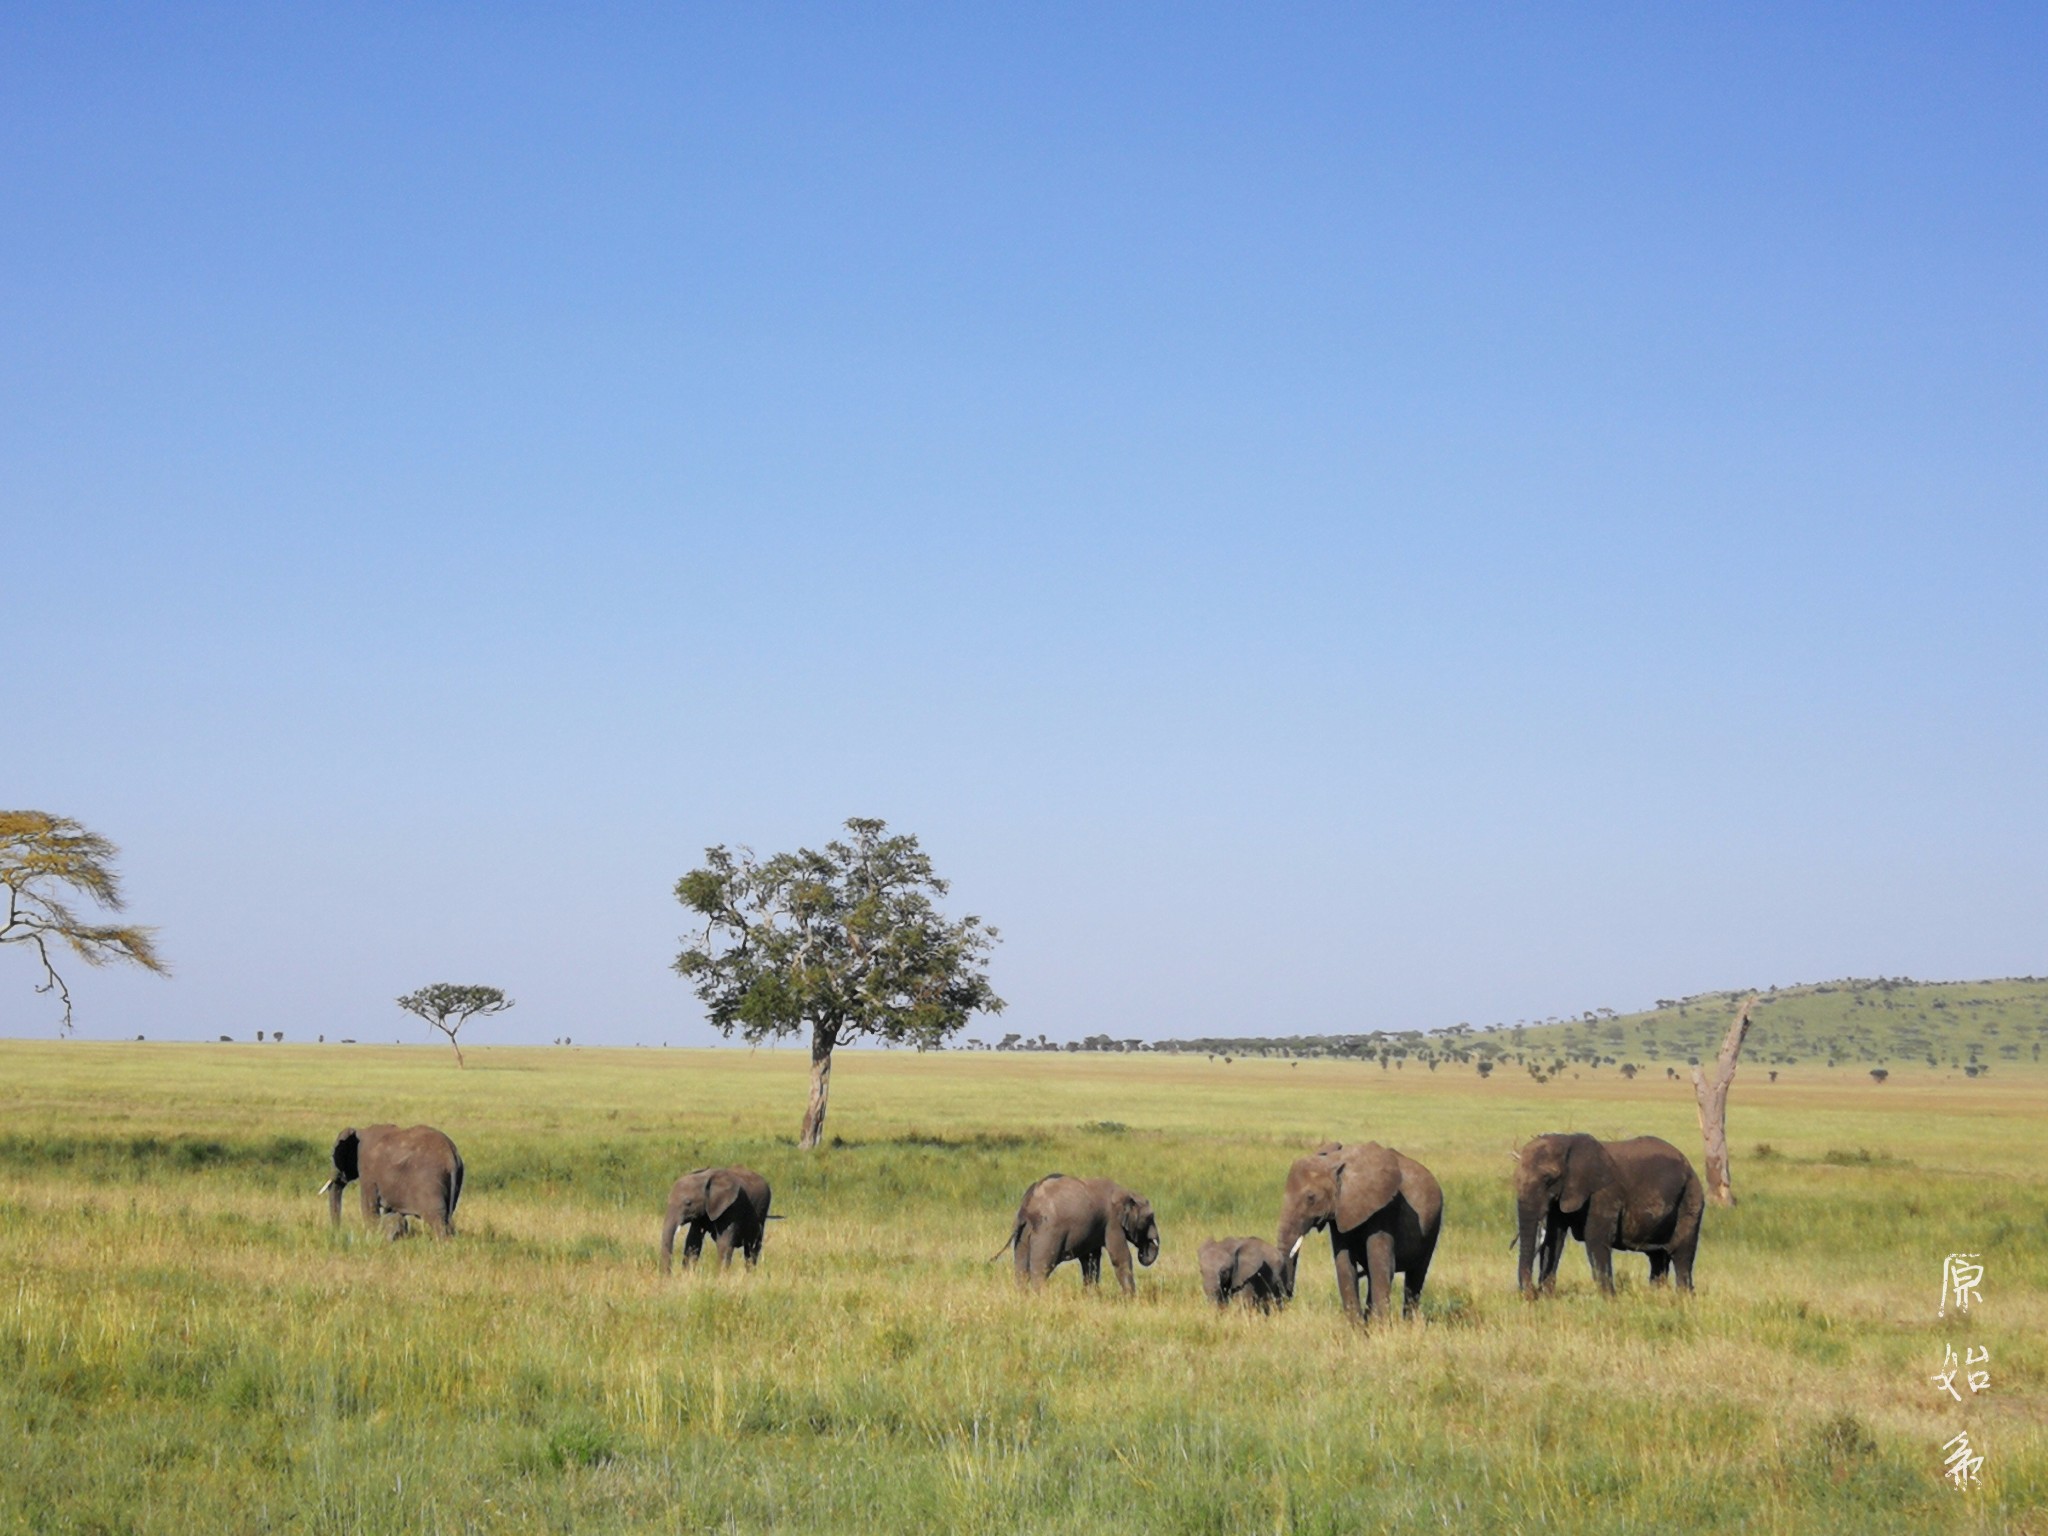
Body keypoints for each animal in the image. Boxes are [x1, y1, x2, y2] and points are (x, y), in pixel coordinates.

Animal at [323, 1130, 464, 1236]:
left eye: (333, 1157)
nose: (337, 1233)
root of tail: (451, 1157)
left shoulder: (367, 1171)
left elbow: (368, 1206)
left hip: (430, 1181)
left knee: (436, 1219)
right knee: (447, 1217)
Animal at [995, 1179, 1163, 1302]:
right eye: (1150, 1217)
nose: (1143, 1250)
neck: (1126, 1192)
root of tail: (1027, 1207)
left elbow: (1091, 1260)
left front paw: (1090, 1297)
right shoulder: (1112, 1222)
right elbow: (1120, 1257)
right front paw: (1131, 1300)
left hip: (1023, 1235)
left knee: (1021, 1267)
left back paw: (1022, 1297)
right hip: (1047, 1234)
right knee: (1042, 1267)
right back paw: (1039, 1298)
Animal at [1269, 1146, 1449, 1327]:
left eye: (1310, 1198)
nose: (1283, 1303)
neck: (1336, 1161)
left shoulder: (1384, 1208)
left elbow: (1380, 1264)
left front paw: (1380, 1328)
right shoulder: (1340, 1213)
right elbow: (1344, 1263)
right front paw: (1358, 1328)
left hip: (1433, 1226)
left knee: (1416, 1276)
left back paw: (1409, 1326)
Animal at [1515, 1130, 1703, 1302]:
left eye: (1549, 1179)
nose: (1531, 1294)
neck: (1568, 1141)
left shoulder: (1605, 1193)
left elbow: (1595, 1238)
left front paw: (1609, 1300)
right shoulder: (1563, 1196)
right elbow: (1554, 1239)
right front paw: (1548, 1298)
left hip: (1691, 1198)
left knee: (1681, 1253)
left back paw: (1685, 1298)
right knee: (1658, 1257)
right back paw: (1656, 1296)